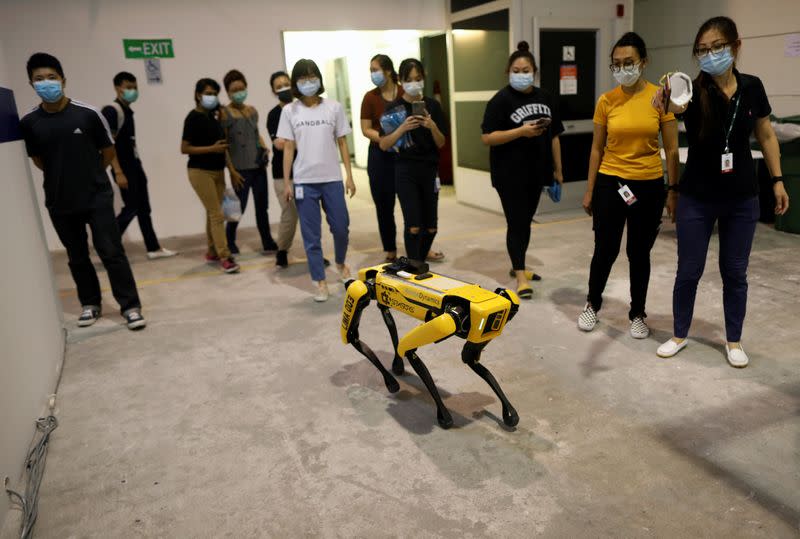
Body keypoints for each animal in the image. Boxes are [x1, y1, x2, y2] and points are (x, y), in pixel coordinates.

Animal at [340, 258, 520, 430]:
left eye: (499, 318)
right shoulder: (445, 322)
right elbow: (406, 348)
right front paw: (444, 415)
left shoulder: (470, 335)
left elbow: (471, 360)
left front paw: (509, 412)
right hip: (365, 292)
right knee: (353, 331)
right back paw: (391, 378)